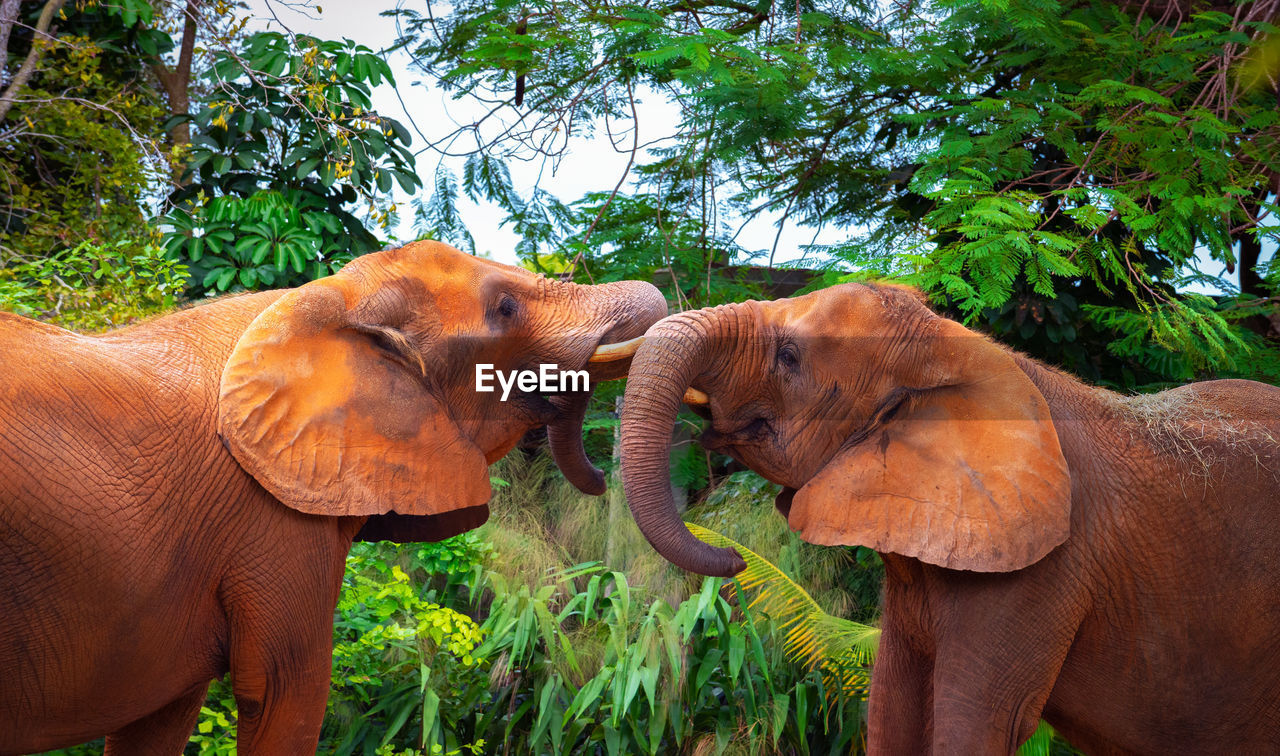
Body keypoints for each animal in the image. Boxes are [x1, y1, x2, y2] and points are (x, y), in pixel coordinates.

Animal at [2, 243, 670, 756]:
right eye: (504, 308)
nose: (601, 479)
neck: (331, 295)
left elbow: (160, 719)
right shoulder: (271, 519)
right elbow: (285, 692)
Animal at [616, 283, 1280, 756]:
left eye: (789, 356)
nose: (731, 559)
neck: (956, 349)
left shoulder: (1046, 569)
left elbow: (975, 725)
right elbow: (891, 711)